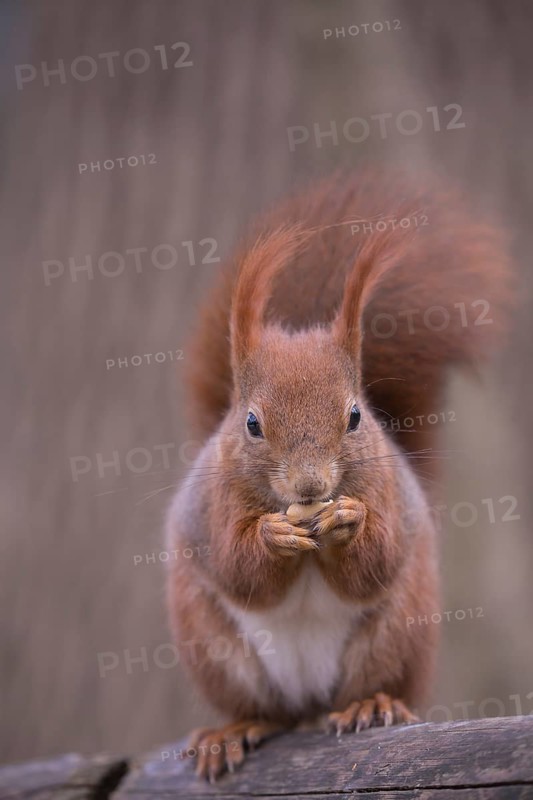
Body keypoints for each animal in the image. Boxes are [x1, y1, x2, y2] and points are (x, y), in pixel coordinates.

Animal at [165, 168, 512, 781]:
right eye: (251, 423)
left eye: (355, 416)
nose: (311, 487)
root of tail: (309, 706)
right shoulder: (212, 504)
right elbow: (236, 568)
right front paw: (273, 535)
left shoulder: (385, 491)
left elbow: (375, 562)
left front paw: (349, 521)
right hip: (214, 648)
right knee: (264, 710)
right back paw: (235, 730)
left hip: (397, 632)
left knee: (374, 683)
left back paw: (369, 705)